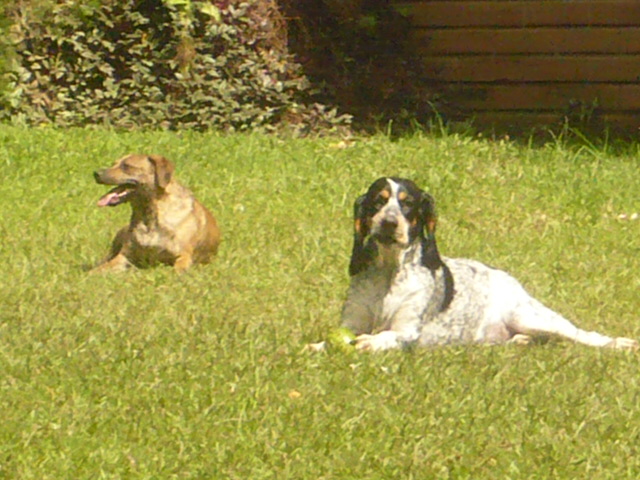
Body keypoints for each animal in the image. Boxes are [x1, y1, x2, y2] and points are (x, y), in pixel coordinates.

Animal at [90, 155, 220, 274]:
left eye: (126, 166)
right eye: (113, 164)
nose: (96, 173)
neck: (148, 216)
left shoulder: (184, 256)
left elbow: (177, 270)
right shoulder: (125, 256)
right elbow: (99, 269)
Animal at [336, 178, 636, 350]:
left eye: (407, 204)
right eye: (379, 201)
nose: (389, 223)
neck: (389, 271)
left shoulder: (407, 330)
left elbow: (387, 337)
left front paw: (370, 342)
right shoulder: (351, 322)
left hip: (529, 316)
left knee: (584, 335)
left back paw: (618, 343)